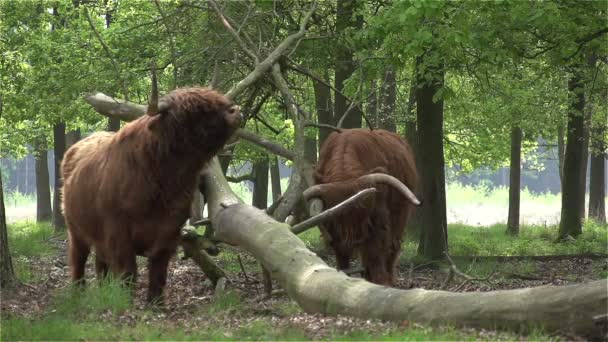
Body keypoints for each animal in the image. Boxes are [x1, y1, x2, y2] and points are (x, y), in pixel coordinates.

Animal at [61, 87, 241, 304]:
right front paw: (126, 301)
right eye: (195, 111)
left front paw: (156, 303)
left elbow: (158, 271)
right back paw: (78, 292)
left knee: (100, 262)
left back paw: (104, 289)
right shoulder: (118, 232)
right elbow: (128, 270)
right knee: (79, 258)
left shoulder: (169, 232)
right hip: (75, 229)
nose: (236, 111)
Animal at [308, 128, 418, 286]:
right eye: (336, 217)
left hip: (401, 214)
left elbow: (376, 253)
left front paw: (381, 283)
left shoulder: (378, 220)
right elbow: (342, 255)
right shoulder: (334, 230)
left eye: (364, 214)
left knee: (392, 248)